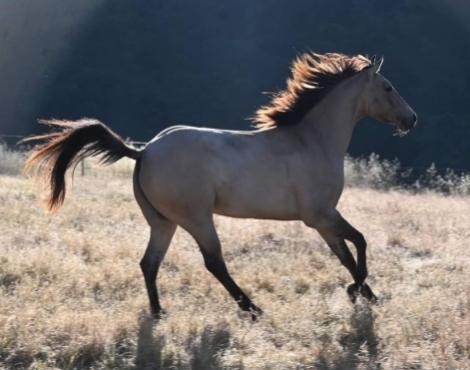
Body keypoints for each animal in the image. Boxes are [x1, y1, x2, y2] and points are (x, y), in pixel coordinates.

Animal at [23, 52, 416, 320]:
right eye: (388, 87)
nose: (411, 119)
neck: (313, 141)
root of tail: (144, 151)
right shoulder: (320, 215)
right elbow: (359, 244)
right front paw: (355, 291)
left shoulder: (323, 220)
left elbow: (346, 254)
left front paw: (368, 295)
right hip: (197, 218)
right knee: (214, 261)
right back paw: (253, 308)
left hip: (162, 222)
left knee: (149, 263)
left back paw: (159, 313)